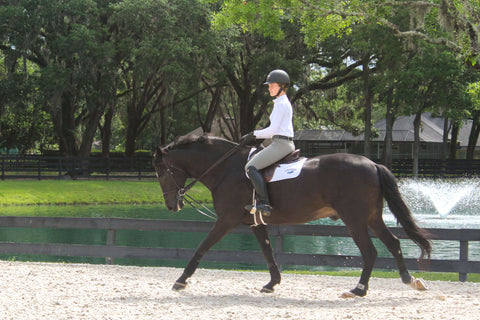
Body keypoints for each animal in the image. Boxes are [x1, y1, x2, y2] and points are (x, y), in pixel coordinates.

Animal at [153, 133, 432, 298]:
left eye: (162, 172)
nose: (171, 206)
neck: (226, 168)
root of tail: (373, 163)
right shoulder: (254, 223)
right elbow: (268, 252)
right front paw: (272, 283)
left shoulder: (226, 220)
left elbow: (202, 247)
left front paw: (181, 280)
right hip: (372, 218)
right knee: (393, 243)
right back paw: (410, 279)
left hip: (354, 220)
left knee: (370, 252)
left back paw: (359, 289)